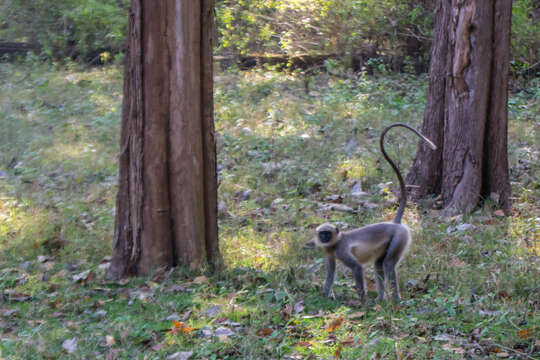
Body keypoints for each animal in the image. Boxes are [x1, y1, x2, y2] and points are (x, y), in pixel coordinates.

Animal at [316, 122, 434, 302]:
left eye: (327, 233)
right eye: (322, 234)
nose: (323, 238)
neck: (336, 242)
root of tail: (395, 224)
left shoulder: (341, 249)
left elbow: (357, 268)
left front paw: (362, 301)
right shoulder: (328, 250)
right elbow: (330, 273)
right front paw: (323, 297)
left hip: (400, 237)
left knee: (388, 264)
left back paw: (395, 300)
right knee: (378, 265)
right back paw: (381, 299)